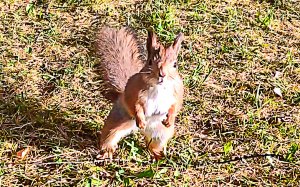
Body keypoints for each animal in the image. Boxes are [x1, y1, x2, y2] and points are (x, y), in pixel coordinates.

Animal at [96, 26, 184, 161]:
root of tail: (141, 131)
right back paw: (107, 151)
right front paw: (141, 120)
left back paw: (158, 155)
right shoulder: (133, 91)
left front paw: (170, 119)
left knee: (153, 145)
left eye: (175, 64)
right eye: (150, 62)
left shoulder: (177, 92)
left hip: (161, 133)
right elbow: (135, 106)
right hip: (116, 123)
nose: (162, 74)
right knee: (109, 137)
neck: (158, 87)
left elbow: (175, 106)